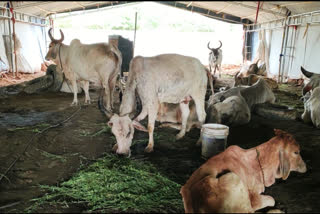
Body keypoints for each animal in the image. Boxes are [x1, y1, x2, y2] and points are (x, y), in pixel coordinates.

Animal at [180, 129, 308, 212]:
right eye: (296, 152)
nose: (306, 167)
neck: (258, 164)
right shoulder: (254, 199)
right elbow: (271, 199)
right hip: (233, 178)